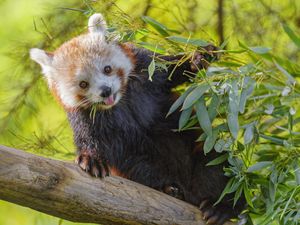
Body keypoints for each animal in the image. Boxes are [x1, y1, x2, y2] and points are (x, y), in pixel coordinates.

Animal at [30, 13, 245, 224]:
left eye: (107, 69)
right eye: (83, 84)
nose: (105, 91)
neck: (120, 102)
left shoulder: (145, 68)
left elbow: (171, 69)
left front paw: (198, 57)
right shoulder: (85, 117)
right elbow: (90, 139)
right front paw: (91, 158)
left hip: (204, 150)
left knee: (218, 164)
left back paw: (221, 207)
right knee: (143, 169)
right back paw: (170, 189)